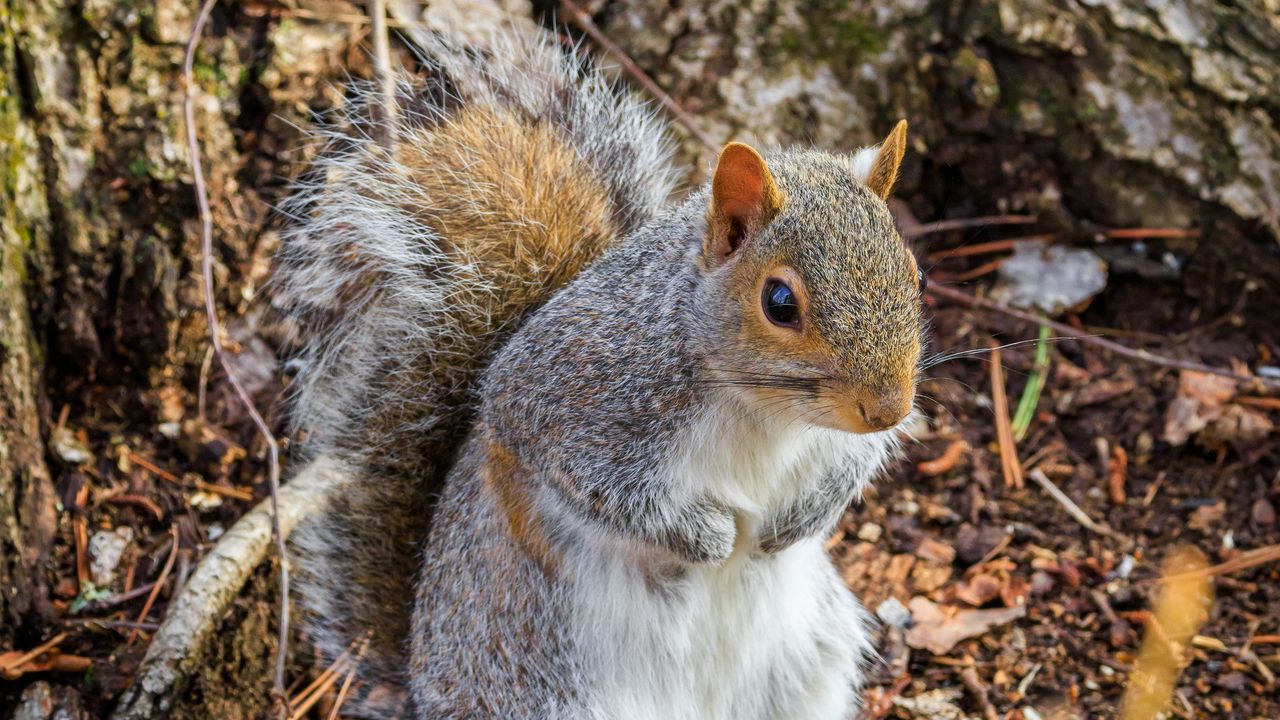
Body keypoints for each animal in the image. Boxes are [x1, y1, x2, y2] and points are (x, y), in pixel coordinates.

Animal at [277, 25, 921, 717]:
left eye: (913, 272)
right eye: (780, 302)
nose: (888, 408)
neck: (764, 412)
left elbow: (854, 461)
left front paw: (804, 518)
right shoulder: (567, 391)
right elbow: (602, 490)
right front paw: (706, 539)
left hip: (808, 665)